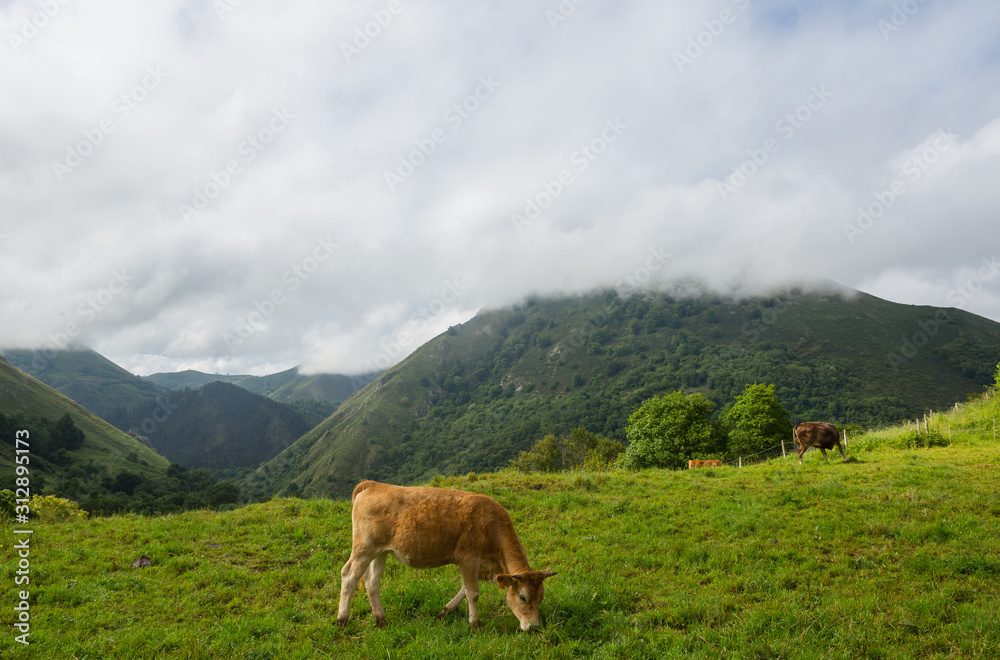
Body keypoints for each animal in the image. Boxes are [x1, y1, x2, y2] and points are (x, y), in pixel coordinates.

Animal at [336, 482, 556, 632]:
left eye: (541, 598)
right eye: (522, 597)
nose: (534, 627)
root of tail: (373, 484)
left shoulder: (479, 566)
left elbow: (464, 590)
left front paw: (445, 611)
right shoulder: (468, 558)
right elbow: (473, 593)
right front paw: (475, 624)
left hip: (381, 551)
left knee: (372, 581)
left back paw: (381, 620)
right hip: (364, 548)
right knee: (349, 576)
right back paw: (342, 619)